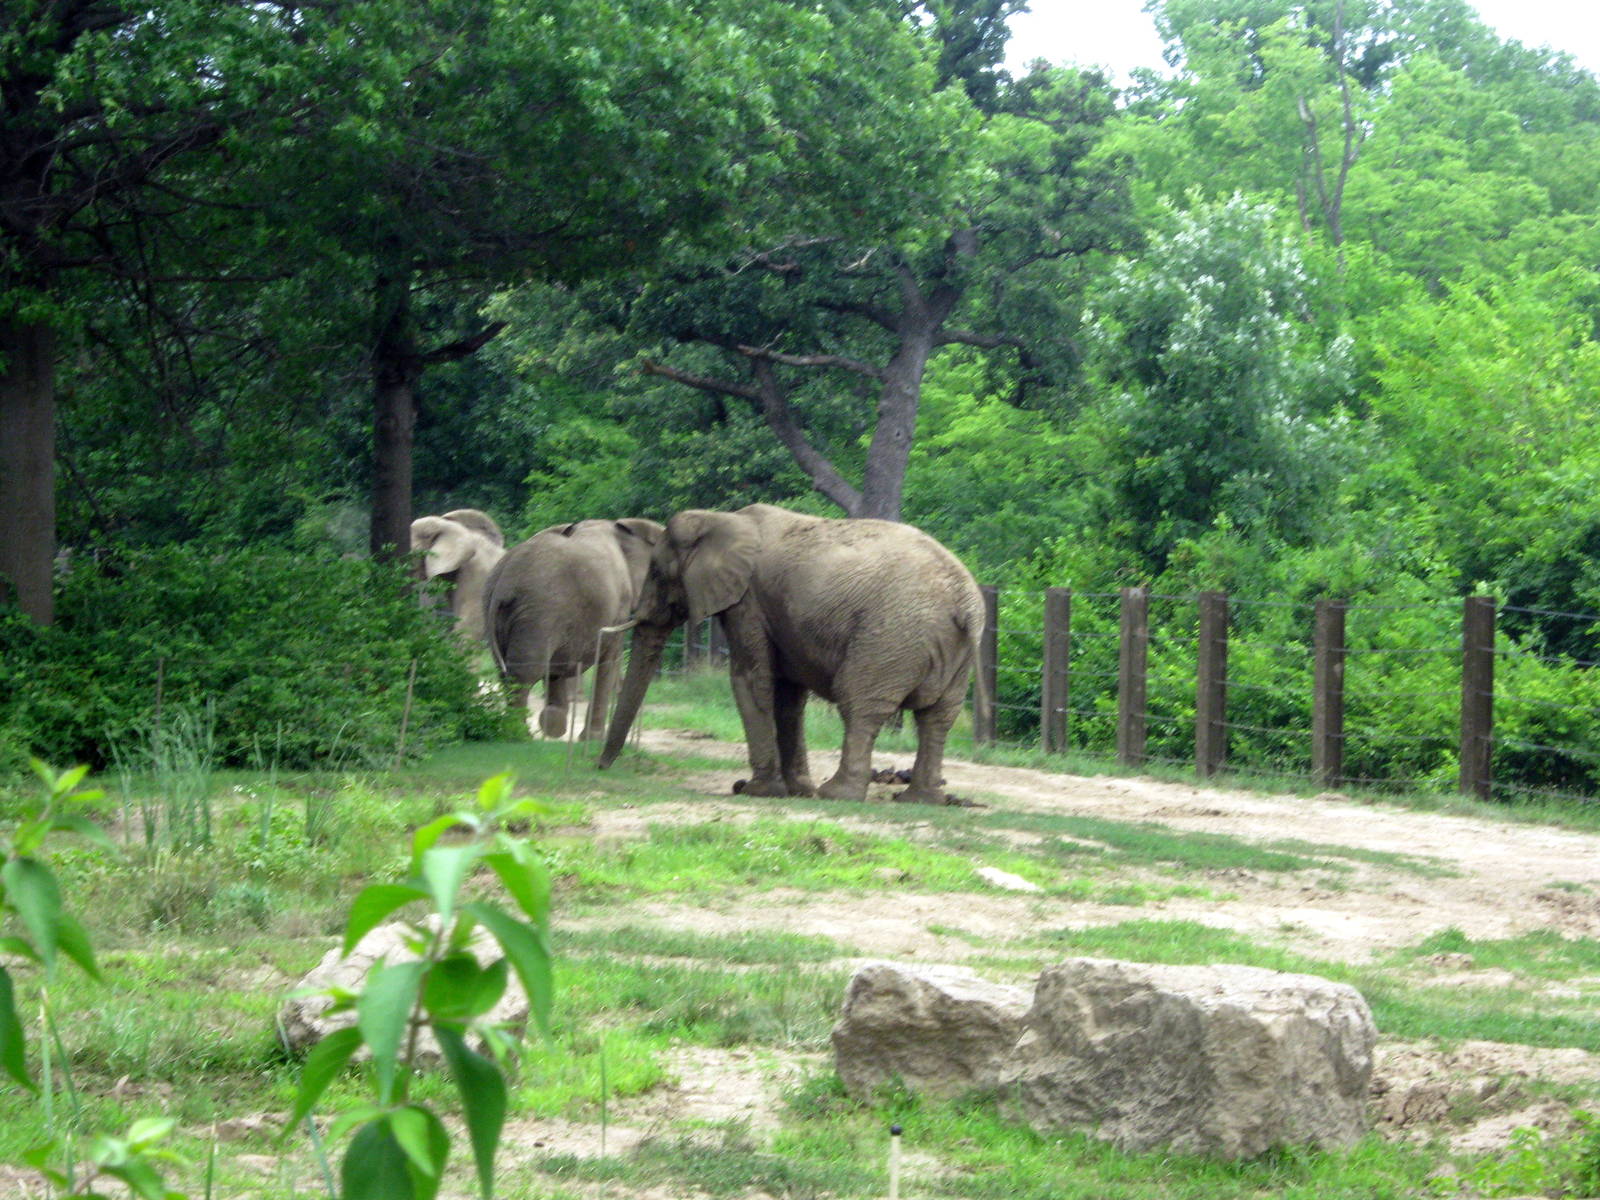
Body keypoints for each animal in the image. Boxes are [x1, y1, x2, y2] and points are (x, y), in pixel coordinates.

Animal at [482, 517, 665, 739]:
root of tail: (504, 581)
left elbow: (556, 669)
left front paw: (554, 726)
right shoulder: (618, 606)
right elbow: (609, 659)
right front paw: (592, 738)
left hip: (500, 611)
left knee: (505, 672)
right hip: (539, 612)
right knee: (524, 673)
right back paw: (519, 735)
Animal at [597, 503, 985, 804]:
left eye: (657, 573)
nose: (600, 767)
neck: (720, 518)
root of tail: (966, 604)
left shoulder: (748, 603)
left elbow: (750, 680)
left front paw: (758, 791)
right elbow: (788, 696)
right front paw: (797, 789)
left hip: (890, 637)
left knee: (860, 705)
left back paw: (837, 794)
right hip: (955, 652)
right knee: (937, 717)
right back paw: (919, 799)